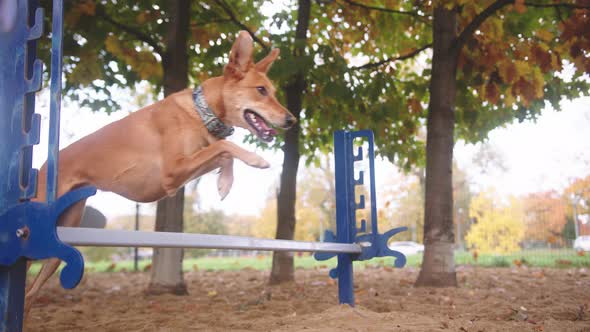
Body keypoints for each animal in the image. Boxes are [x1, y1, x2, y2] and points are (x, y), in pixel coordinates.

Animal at [24, 29, 296, 312]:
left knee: (29, 295)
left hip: (59, 242)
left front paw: (224, 183)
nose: (291, 120)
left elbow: (223, 154)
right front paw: (255, 160)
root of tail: (43, 168)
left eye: (273, 91)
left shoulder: (182, 172)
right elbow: (225, 145)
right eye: (261, 90)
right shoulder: (173, 171)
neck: (200, 110)